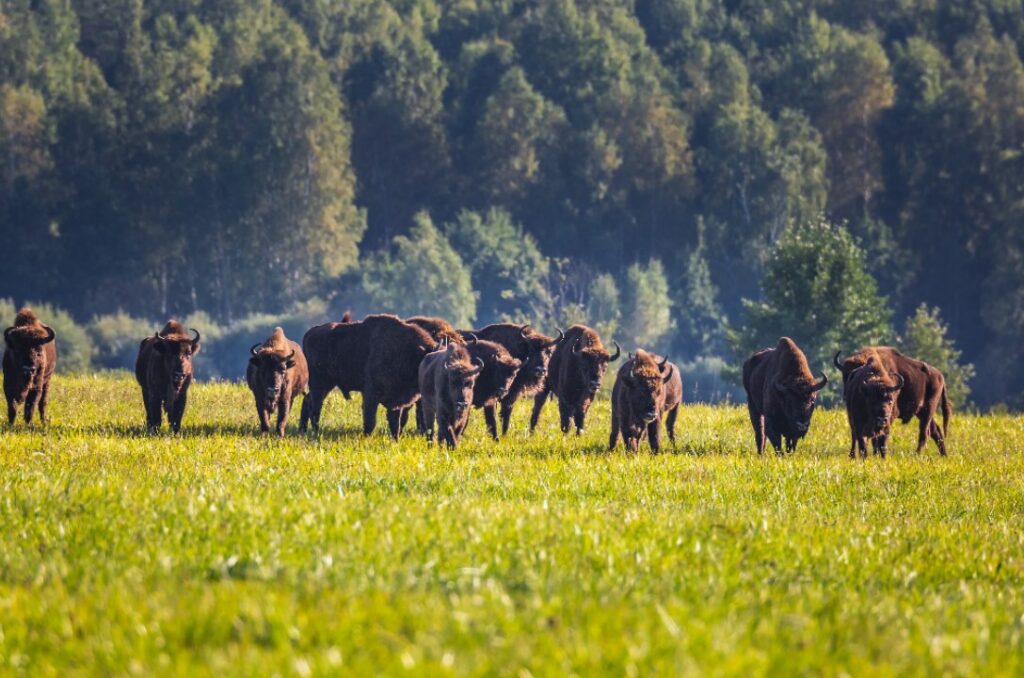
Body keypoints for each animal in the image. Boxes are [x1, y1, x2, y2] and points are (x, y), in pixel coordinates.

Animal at [299, 315, 436, 438]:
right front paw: (366, 437)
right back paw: (315, 431)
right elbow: (371, 421)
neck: (409, 353)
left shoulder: (397, 402)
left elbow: (396, 424)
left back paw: (304, 430)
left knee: (308, 400)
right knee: (315, 406)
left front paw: (395, 439)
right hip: (320, 384)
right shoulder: (371, 395)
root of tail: (310, 333)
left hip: (327, 384)